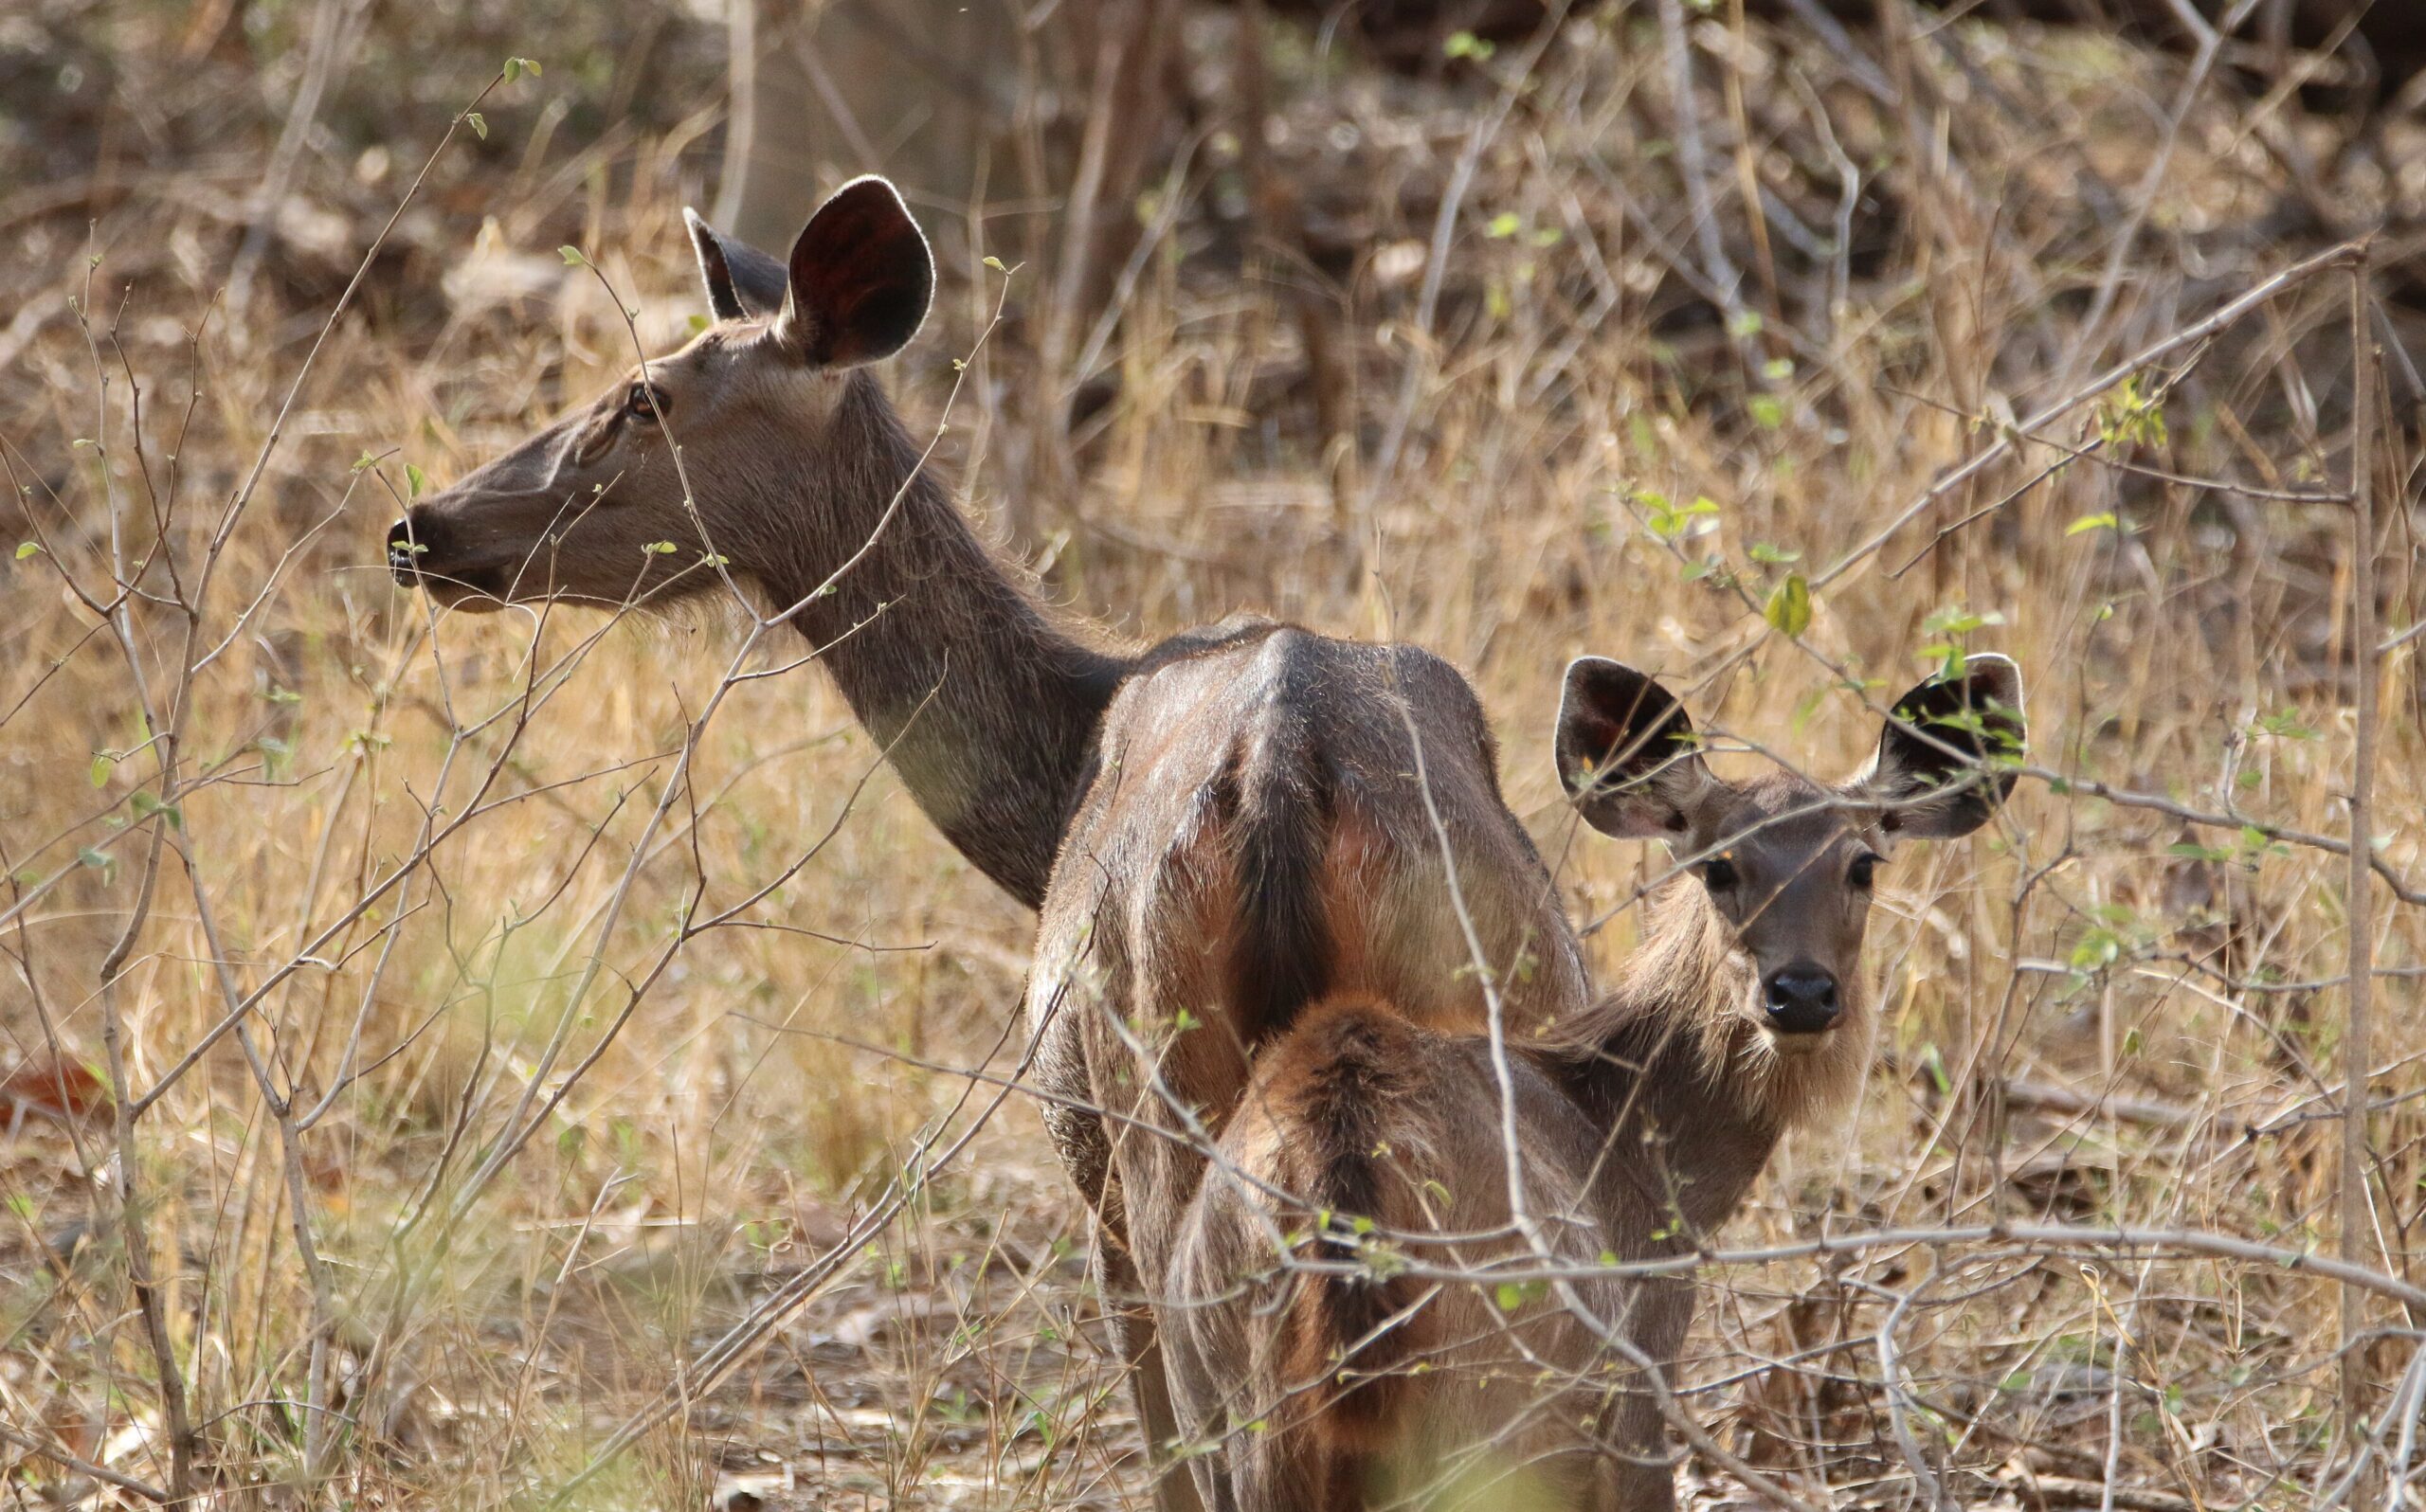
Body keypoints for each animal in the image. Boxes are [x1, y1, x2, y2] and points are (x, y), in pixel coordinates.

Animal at [385, 175, 1595, 1511]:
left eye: (643, 396)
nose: (421, 524)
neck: (1059, 768)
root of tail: (1282, 777)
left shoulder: (1079, 1163)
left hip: (1153, 1123)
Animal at [1161, 652, 2026, 1511]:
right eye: (1720, 865)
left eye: (1862, 863)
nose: (1803, 991)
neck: (1645, 1162)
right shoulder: (1646, 1381)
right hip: (1500, 1409)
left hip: (1222, 1409)